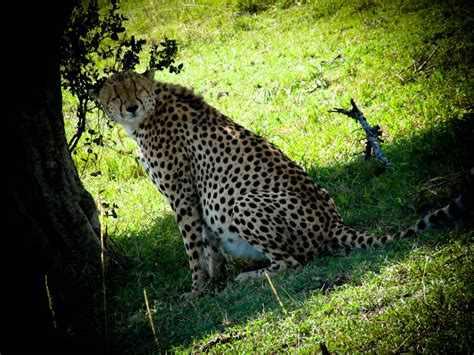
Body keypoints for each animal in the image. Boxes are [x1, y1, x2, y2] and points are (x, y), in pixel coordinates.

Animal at [90, 69, 472, 298]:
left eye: (136, 89)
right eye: (116, 95)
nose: (131, 106)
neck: (149, 112)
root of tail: (333, 222)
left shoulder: (183, 196)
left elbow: (193, 247)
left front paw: (197, 290)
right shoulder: (195, 199)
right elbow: (209, 243)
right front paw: (216, 278)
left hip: (242, 202)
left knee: (295, 262)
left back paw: (253, 276)